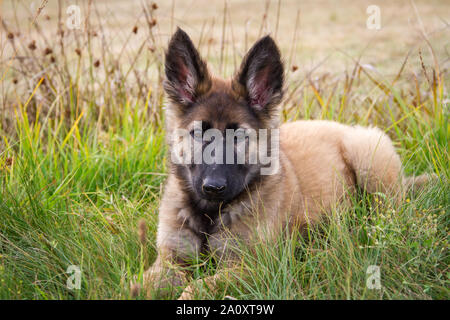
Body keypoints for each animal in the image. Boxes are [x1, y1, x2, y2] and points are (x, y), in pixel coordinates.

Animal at [142, 28, 434, 300]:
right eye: (198, 133)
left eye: (239, 137)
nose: (213, 187)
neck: (209, 214)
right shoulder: (168, 261)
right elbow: (142, 283)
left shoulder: (250, 267)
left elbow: (197, 287)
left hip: (367, 157)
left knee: (390, 215)